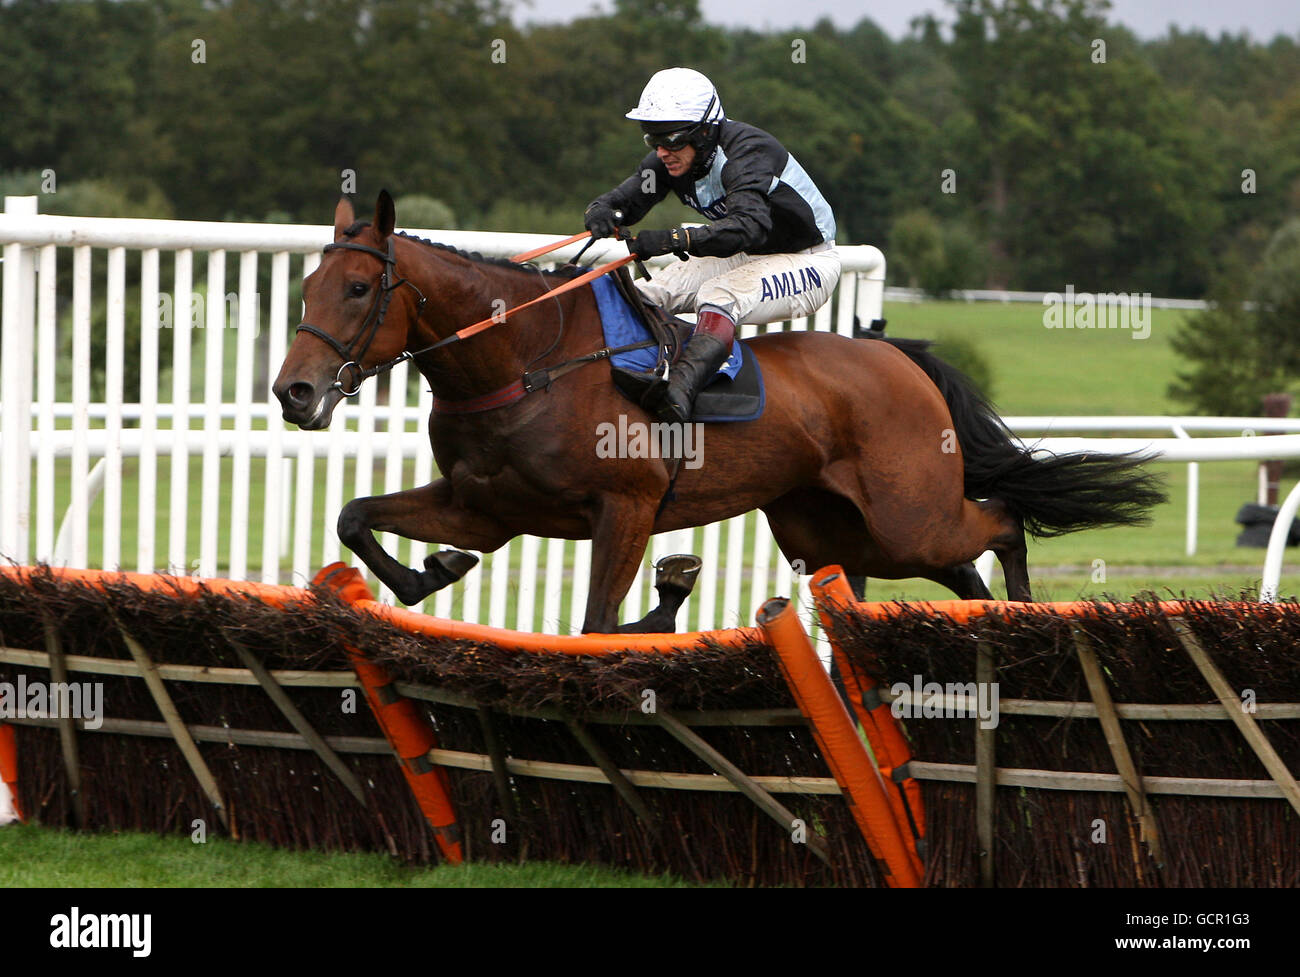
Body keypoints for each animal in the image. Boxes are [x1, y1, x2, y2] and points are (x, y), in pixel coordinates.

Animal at [269, 190, 1164, 634]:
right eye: (307, 286)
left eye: (359, 287)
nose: (294, 392)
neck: (525, 361)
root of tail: (903, 361)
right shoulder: (484, 508)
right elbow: (355, 515)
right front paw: (430, 572)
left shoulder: (624, 509)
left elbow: (599, 624)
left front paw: (660, 600)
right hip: (833, 531)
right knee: (958, 568)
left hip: (910, 515)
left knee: (1002, 522)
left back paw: (1025, 607)